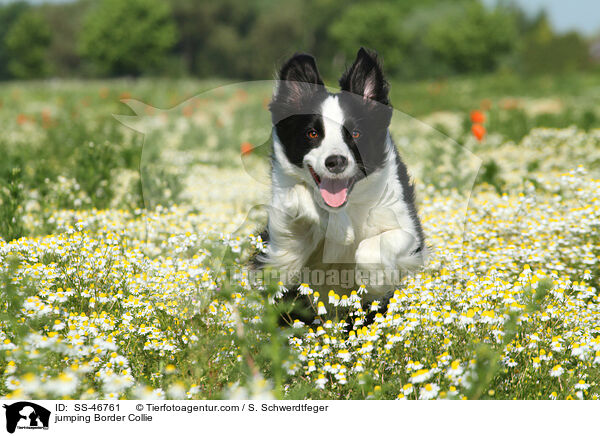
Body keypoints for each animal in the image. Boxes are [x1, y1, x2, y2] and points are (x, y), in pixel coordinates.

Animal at [258, 47, 426, 314]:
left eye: (355, 133)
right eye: (312, 133)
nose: (335, 161)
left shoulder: (409, 231)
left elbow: (370, 248)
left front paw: (376, 282)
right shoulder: (281, 246)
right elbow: (297, 196)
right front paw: (334, 227)